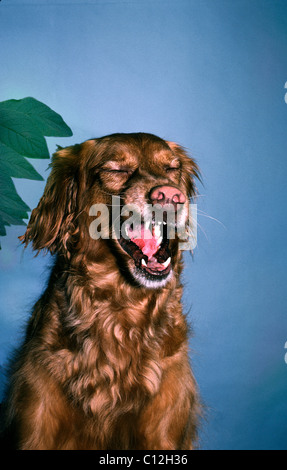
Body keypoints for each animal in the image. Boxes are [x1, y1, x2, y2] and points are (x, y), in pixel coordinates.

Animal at [1, 133, 201, 452]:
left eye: (172, 168)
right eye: (116, 169)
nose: (170, 196)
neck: (121, 306)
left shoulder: (163, 433)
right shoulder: (37, 426)